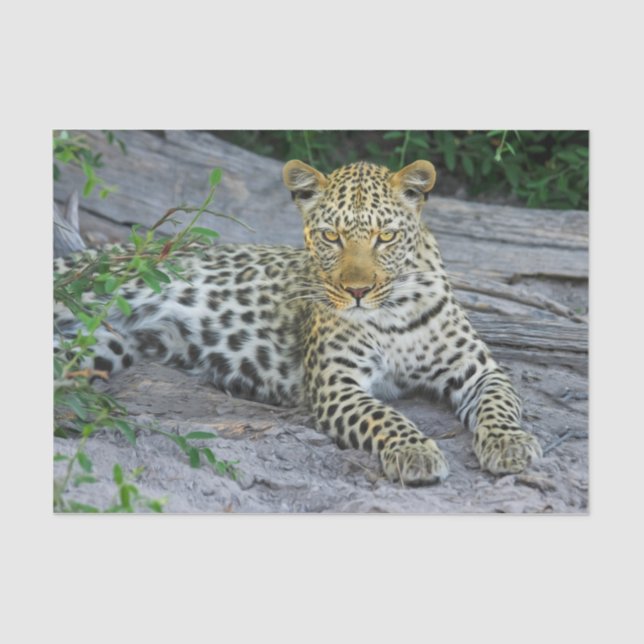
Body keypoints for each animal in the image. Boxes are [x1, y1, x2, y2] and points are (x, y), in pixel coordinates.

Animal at [54, 159, 542, 486]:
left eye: (385, 236)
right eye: (331, 236)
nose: (357, 291)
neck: (393, 311)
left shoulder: (479, 370)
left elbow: (500, 404)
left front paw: (510, 444)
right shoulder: (336, 385)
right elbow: (385, 416)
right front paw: (415, 450)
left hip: (100, 347)